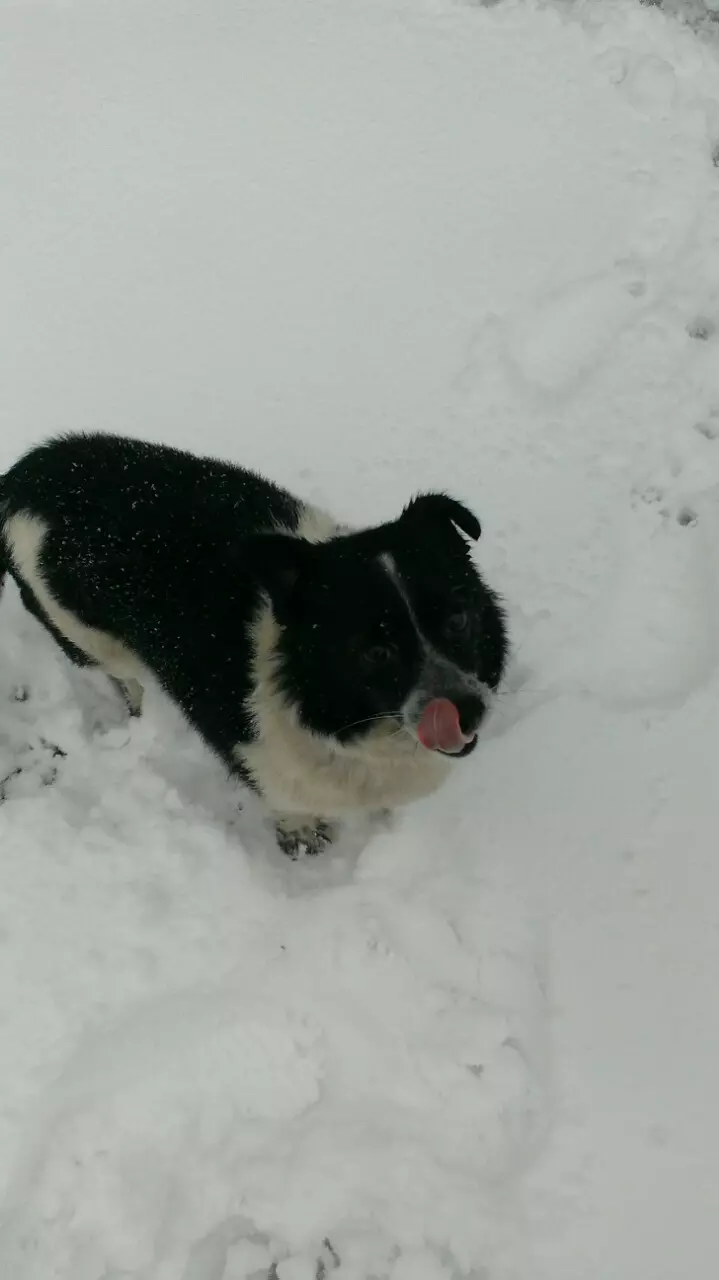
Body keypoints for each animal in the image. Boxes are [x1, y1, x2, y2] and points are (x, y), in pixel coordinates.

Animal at [0, 432, 506, 860]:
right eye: (375, 652)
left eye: (458, 620)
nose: (467, 710)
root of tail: (19, 481)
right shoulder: (258, 757)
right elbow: (287, 802)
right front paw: (301, 834)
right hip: (85, 633)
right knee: (124, 676)